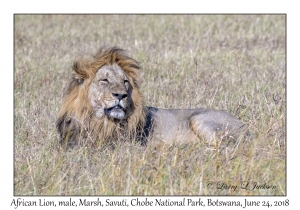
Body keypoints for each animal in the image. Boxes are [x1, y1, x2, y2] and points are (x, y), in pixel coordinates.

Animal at [55, 47, 246, 148]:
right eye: (104, 80)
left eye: (125, 81)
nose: (121, 95)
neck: (100, 122)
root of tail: (246, 126)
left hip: (200, 120)